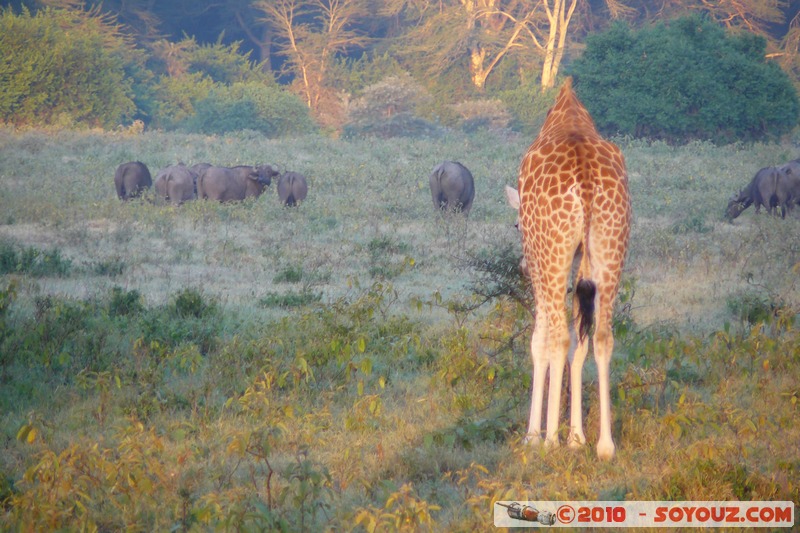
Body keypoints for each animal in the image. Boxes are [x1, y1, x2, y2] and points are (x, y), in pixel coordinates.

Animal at [506, 77, 630, 460]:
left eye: (516, 225)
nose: (520, 266)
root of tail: (585, 180)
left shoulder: (541, 264)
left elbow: (539, 340)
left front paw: (536, 435)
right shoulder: (580, 269)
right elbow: (582, 343)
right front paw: (576, 437)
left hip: (552, 253)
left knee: (559, 337)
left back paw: (548, 441)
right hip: (610, 246)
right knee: (602, 337)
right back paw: (605, 445)